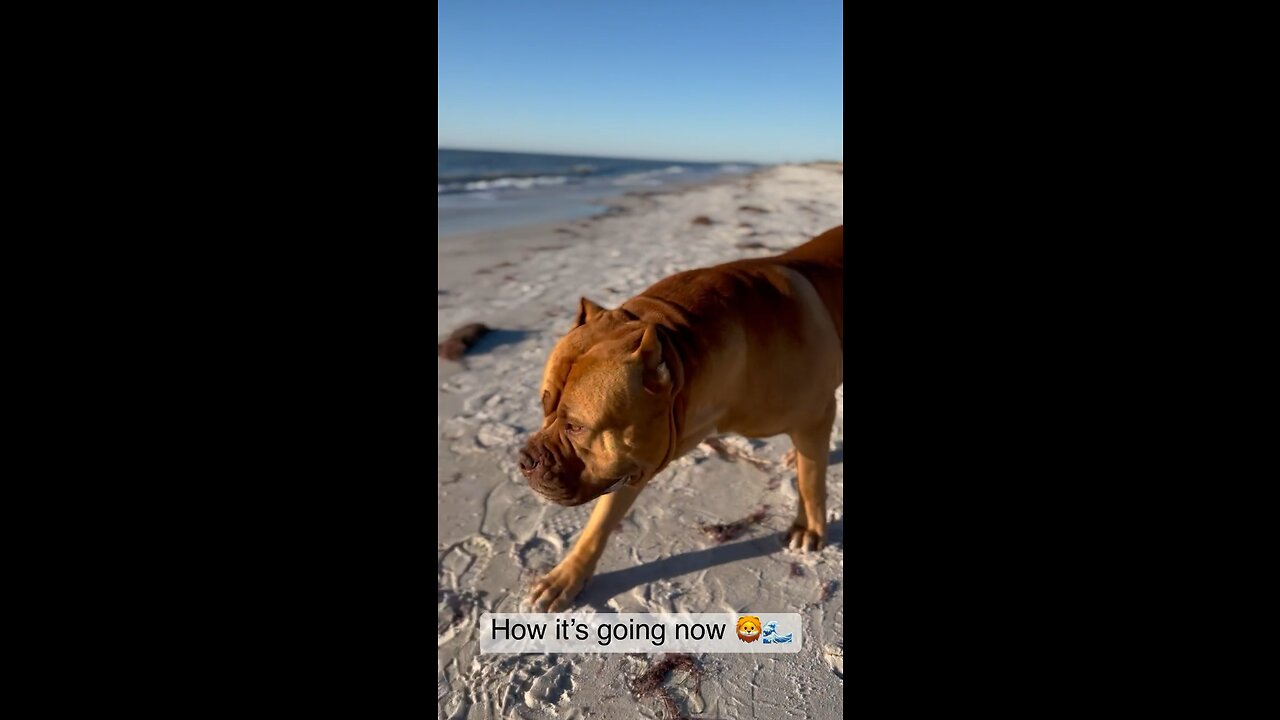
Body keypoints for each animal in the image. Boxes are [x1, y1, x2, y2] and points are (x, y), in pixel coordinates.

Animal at [514, 224, 844, 604]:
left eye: (576, 427)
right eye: (544, 407)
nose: (525, 459)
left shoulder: (815, 416)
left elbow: (811, 482)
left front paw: (809, 527)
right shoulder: (631, 462)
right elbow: (600, 523)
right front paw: (567, 575)